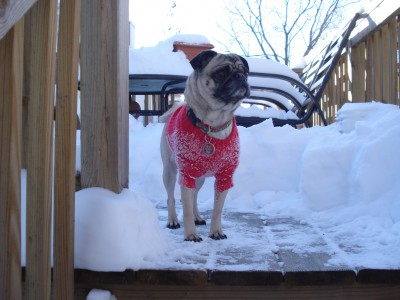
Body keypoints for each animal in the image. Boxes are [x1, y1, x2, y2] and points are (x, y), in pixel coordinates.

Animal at [159, 49, 250, 241]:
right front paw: (191, 234)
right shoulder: (186, 174)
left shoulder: (224, 176)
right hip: (170, 171)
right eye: (221, 73)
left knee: (194, 196)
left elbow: (217, 209)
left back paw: (198, 217)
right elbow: (185, 208)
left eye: (245, 73)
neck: (212, 124)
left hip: (199, 178)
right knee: (172, 197)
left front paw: (216, 231)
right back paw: (173, 220)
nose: (240, 76)